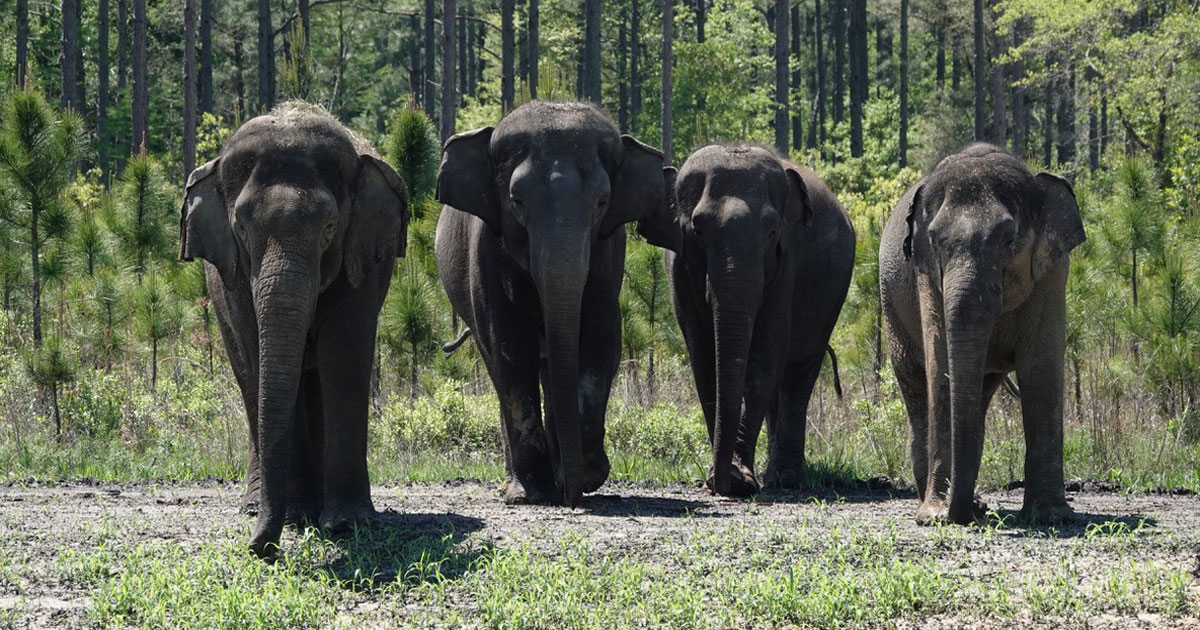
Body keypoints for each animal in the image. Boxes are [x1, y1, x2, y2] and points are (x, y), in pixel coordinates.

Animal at [177, 104, 410, 554]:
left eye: (330, 228)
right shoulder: (234, 278)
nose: (259, 548)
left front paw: (348, 524)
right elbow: (262, 356)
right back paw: (259, 505)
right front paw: (298, 517)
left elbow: (345, 358)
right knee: (249, 380)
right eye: (241, 228)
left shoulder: (361, 260)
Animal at [434, 102, 681, 506]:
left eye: (602, 202)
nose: (572, 499)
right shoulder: (487, 251)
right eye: (516, 202)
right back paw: (515, 484)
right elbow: (510, 349)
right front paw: (533, 493)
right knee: (498, 368)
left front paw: (587, 475)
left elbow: (600, 342)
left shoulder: (608, 253)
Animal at [667, 143, 854, 496]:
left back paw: (785, 479)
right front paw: (725, 477)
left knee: (799, 372)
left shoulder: (788, 259)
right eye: (697, 230)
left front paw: (739, 481)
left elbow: (765, 352)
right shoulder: (678, 265)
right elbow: (703, 357)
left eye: (771, 232)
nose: (720, 484)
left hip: (831, 299)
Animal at [883, 143, 1089, 525]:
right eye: (934, 241)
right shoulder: (925, 275)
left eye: (1009, 240)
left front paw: (1051, 516)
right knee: (916, 385)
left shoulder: (1053, 273)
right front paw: (935, 517)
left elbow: (1041, 369)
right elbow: (939, 368)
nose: (962, 515)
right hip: (891, 309)